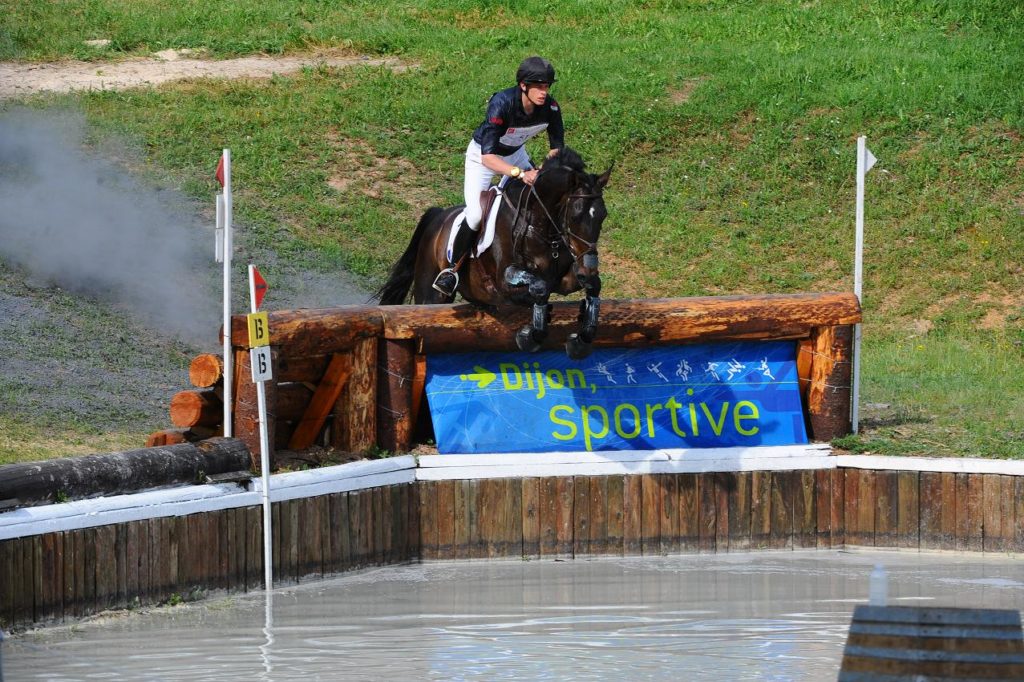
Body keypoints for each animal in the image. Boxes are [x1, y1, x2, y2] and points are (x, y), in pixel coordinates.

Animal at [380, 146, 610, 358]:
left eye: (603, 215)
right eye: (575, 216)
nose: (588, 268)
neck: (539, 225)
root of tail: (438, 216)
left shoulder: (561, 279)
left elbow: (592, 286)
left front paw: (582, 338)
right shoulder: (505, 283)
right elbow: (539, 288)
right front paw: (530, 336)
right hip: (430, 293)